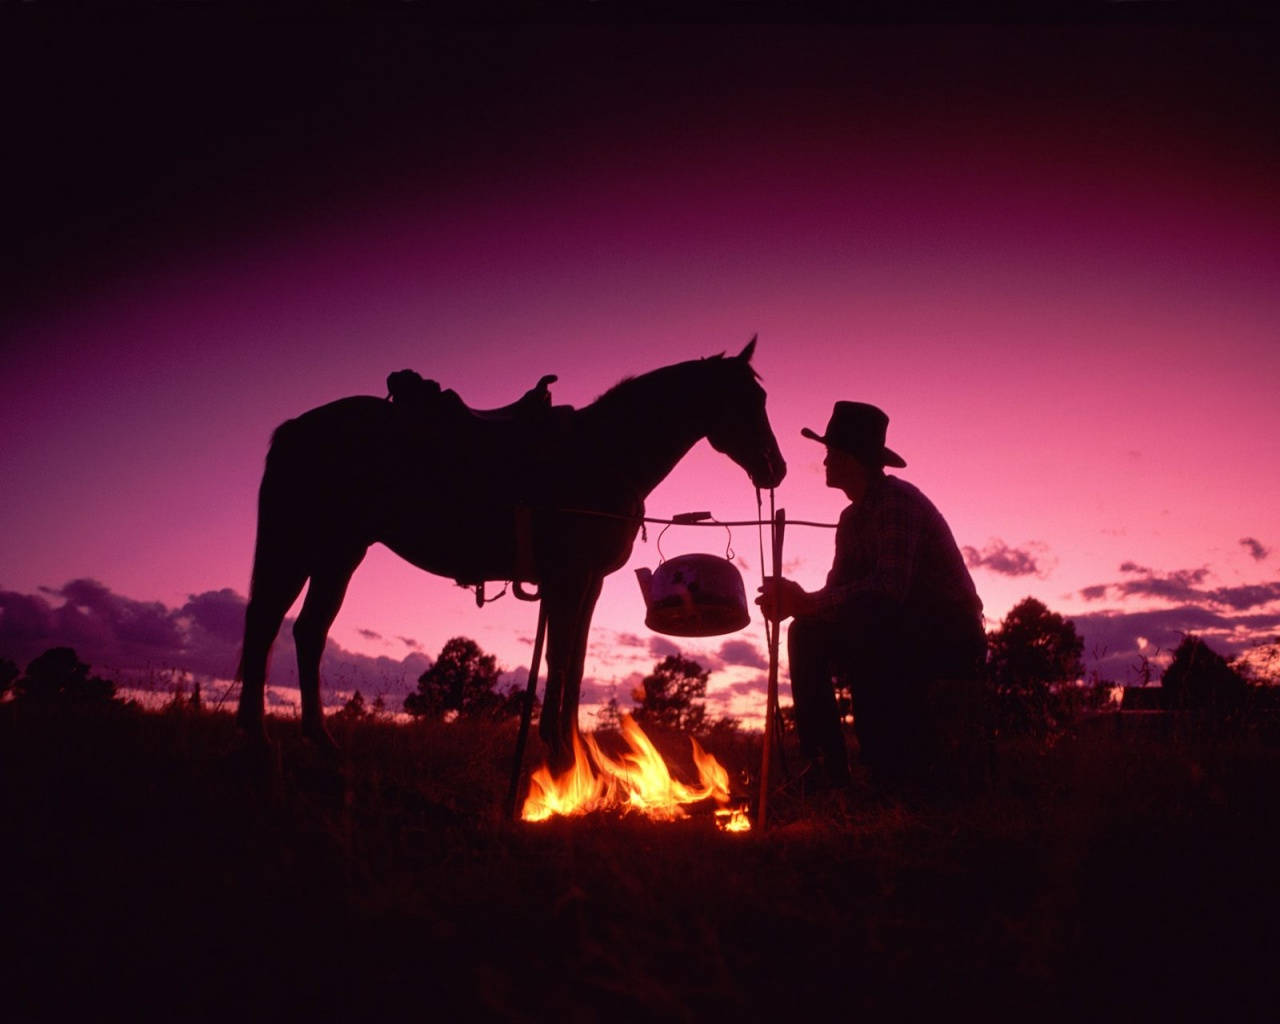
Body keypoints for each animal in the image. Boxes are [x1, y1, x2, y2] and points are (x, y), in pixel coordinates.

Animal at [235, 337, 783, 768]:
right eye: (750, 398)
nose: (775, 469)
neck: (605, 454)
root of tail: (297, 427)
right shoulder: (569, 580)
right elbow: (560, 658)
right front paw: (560, 754)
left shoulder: (589, 583)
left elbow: (575, 662)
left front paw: (571, 749)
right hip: (300, 547)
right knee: (266, 624)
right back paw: (257, 740)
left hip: (339, 553)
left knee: (308, 631)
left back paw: (320, 742)